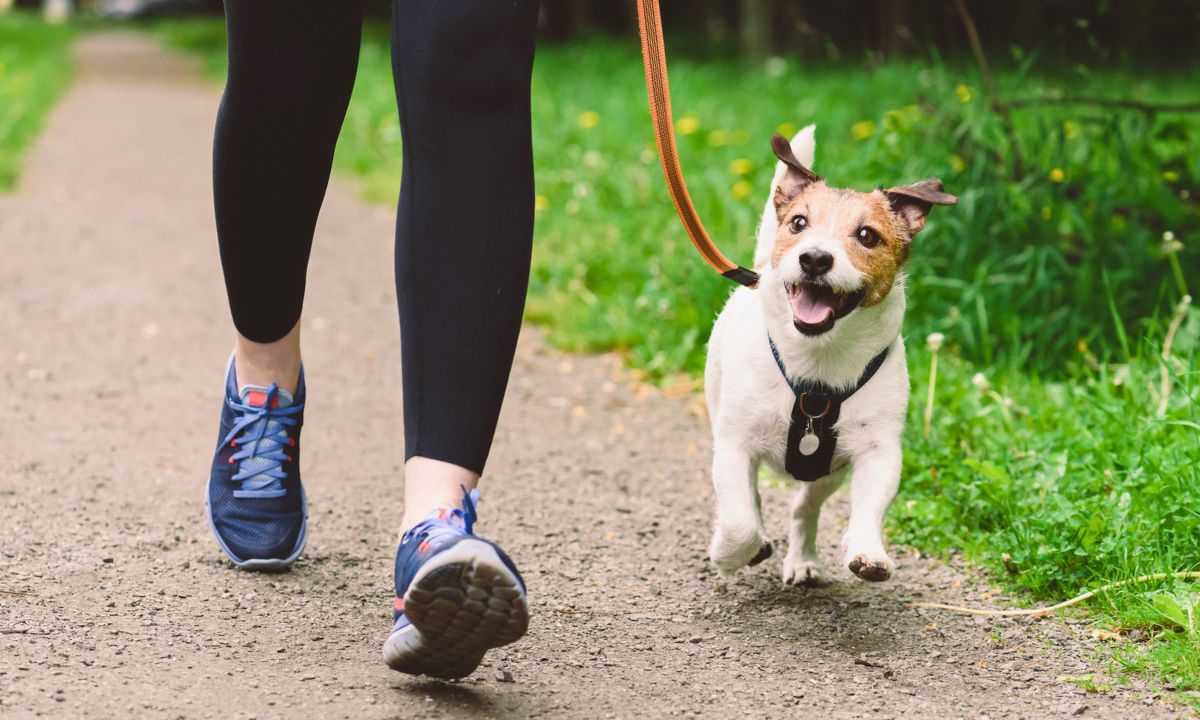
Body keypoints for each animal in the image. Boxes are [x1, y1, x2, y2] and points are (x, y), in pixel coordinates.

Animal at [700, 125, 955, 585]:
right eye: (799, 223)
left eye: (867, 235)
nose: (815, 258)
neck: (817, 367)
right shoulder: (733, 444)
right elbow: (740, 520)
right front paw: (730, 554)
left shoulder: (878, 450)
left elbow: (869, 506)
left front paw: (867, 551)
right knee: (751, 502)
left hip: (826, 474)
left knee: (805, 507)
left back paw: (803, 559)